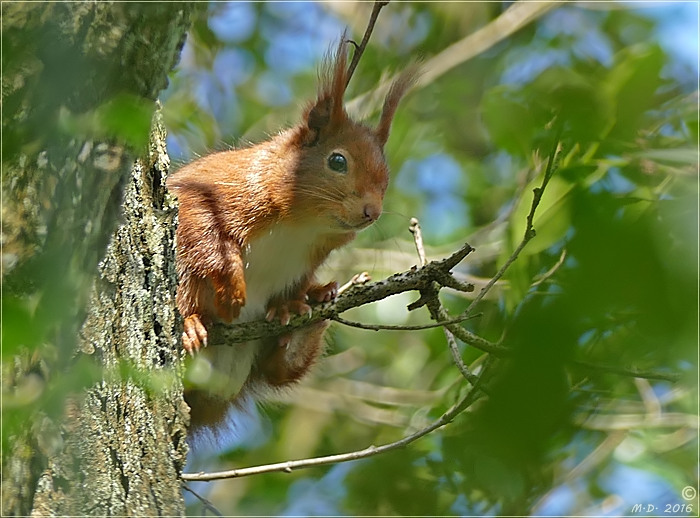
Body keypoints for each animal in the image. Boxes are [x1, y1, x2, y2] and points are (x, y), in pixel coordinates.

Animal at [165, 38, 416, 432]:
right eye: (337, 161)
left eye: (386, 176)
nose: (371, 212)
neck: (300, 227)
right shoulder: (212, 190)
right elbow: (202, 228)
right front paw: (231, 286)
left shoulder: (303, 263)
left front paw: (293, 302)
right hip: (183, 276)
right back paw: (191, 324)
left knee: (280, 369)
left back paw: (310, 312)